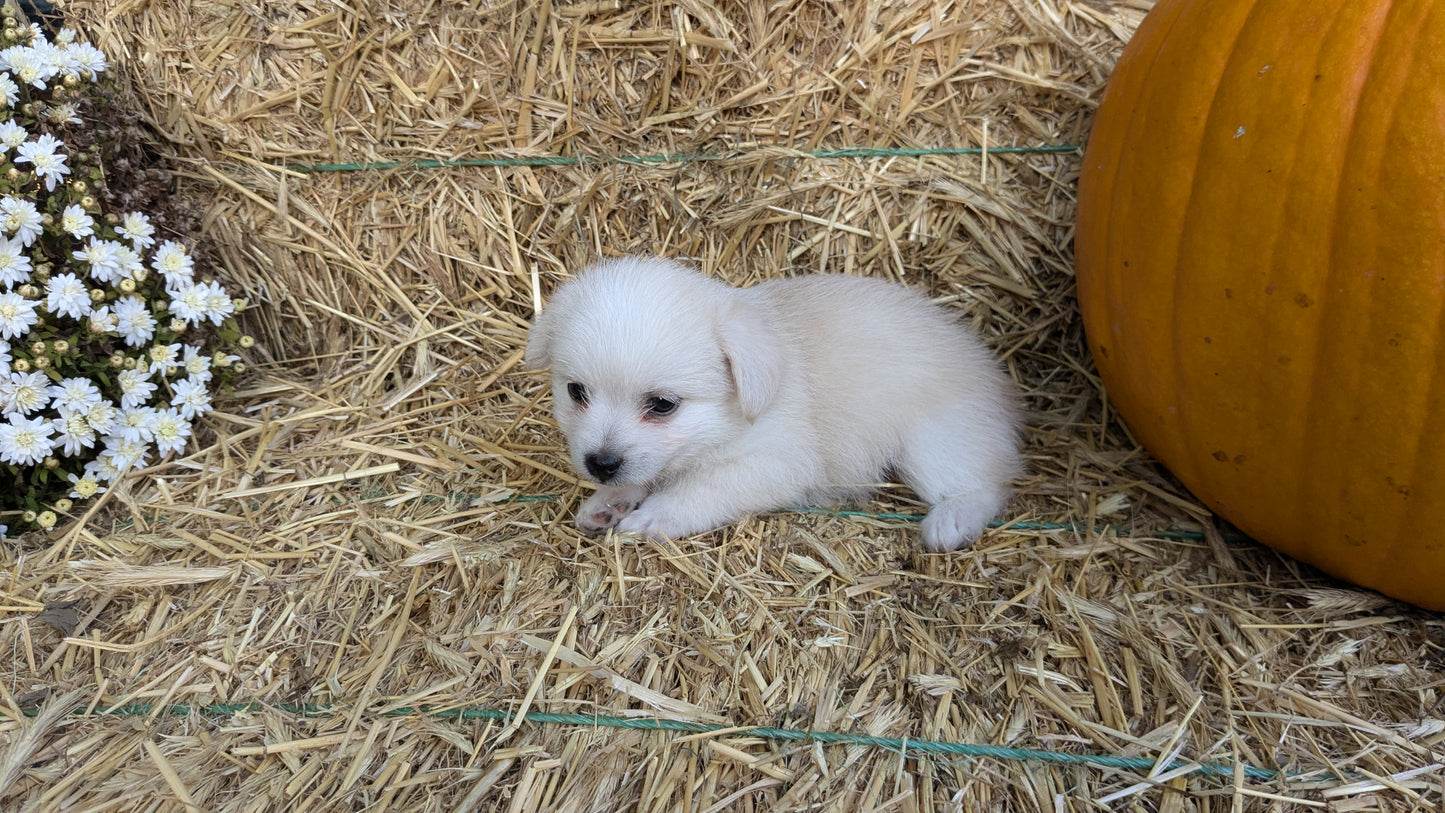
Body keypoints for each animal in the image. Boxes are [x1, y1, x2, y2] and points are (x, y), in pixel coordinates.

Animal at [525, 259, 1023, 554]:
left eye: (663, 405)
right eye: (576, 392)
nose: (600, 464)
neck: (728, 421)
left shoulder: (774, 463)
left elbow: (701, 489)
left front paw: (651, 516)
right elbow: (649, 473)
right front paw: (608, 502)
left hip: (933, 444)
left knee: (988, 484)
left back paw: (951, 521)